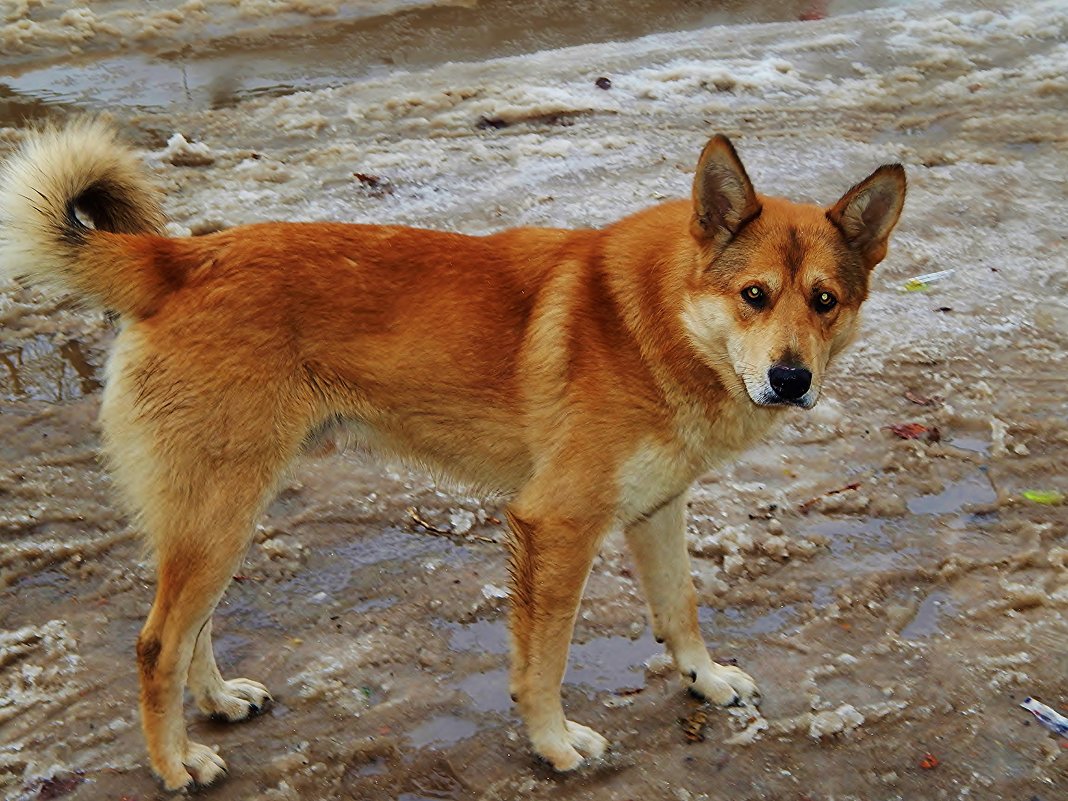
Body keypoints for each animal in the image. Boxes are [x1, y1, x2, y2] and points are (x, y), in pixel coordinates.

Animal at [0, 119, 901, 790]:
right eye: (754, 295)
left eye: (825, 300)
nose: (791, 378)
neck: (659, 318)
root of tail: (181, 259)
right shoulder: (556, 526)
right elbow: (544, 659)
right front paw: (554, 742)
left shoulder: (655, 510)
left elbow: (680, 608)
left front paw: (704, 681)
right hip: (219, 511)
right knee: (157, 642)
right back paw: (174, 763)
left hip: (221, 511)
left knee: (192, 630)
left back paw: (217, 702)